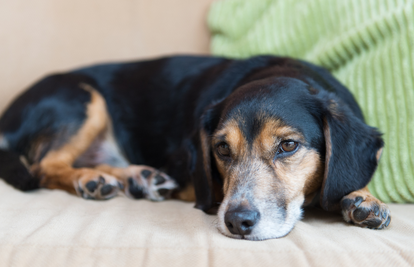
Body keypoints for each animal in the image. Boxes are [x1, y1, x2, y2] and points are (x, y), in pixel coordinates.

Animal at [0, 56, 390, 241]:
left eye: (288, 145)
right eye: (222, 149)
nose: (237, 222)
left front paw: (364, 199)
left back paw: (138, 178)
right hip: (82, 97)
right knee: (44, 166)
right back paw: (92, 180)